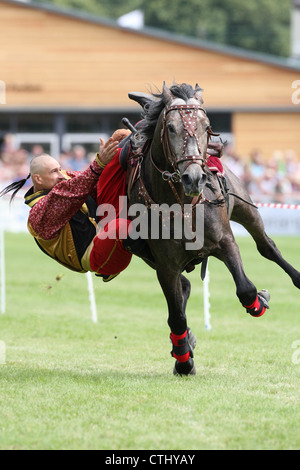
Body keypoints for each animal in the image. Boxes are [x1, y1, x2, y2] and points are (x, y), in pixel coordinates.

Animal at [123, 81, 298, 374]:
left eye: (207, 127)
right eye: (171, 128)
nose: (194, 178)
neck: (181, 205)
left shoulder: (225, 241)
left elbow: (246, 288)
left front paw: (259, 301)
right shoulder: (165, 265)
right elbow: (176, 316)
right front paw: (184, 359)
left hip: (246, 209)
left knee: (267, 247)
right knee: (184, 288)